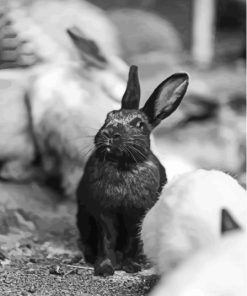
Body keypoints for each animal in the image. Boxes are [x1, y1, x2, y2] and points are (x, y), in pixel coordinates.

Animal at [76, 66, 188, 276]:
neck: (122, 165)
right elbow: (107, 239)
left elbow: (132, 240)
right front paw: (104, 268)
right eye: (108, 116)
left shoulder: (137, 213)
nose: (109, 133)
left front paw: (131, 266)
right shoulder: (103, 211)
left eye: (139, 124)